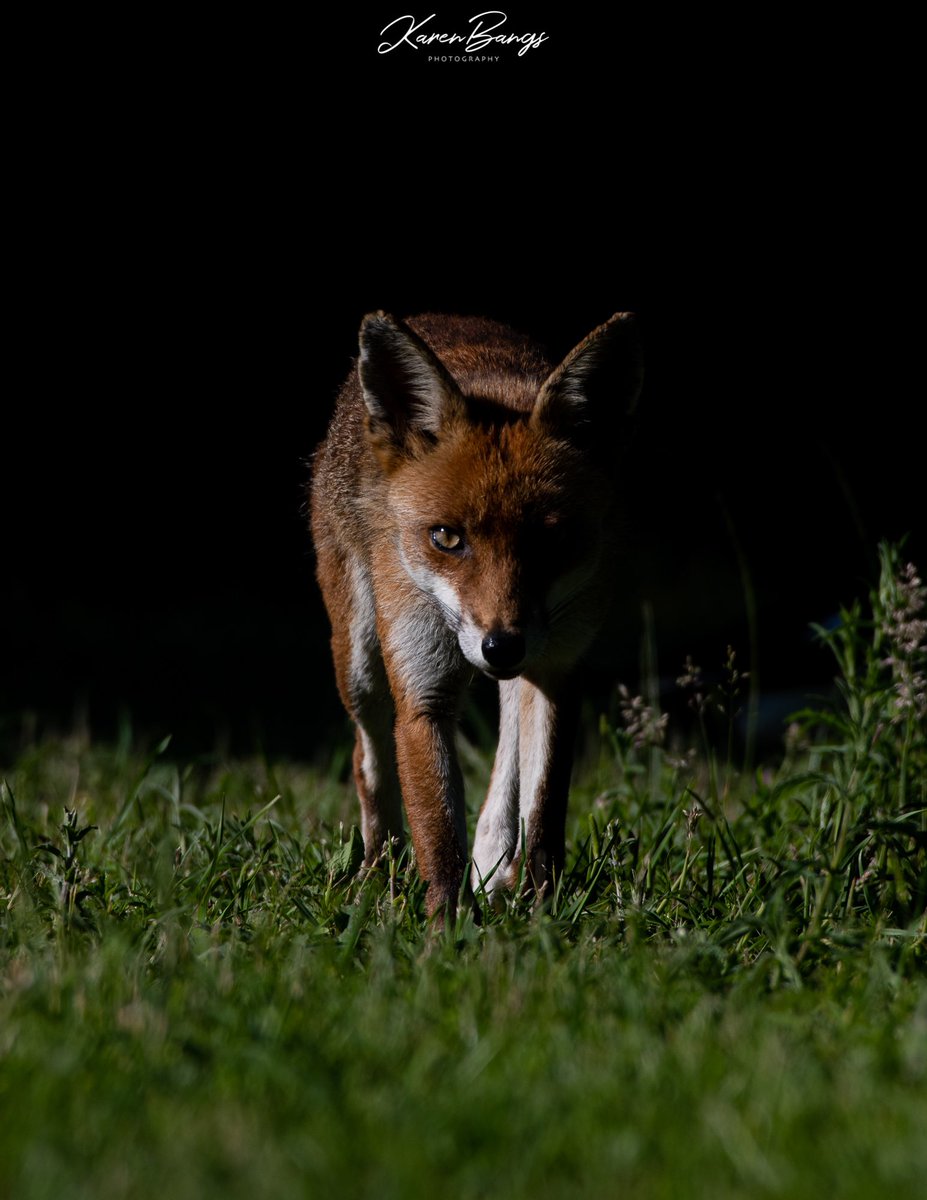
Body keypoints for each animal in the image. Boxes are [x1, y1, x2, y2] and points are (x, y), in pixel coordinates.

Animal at [310, 311, 643, 919]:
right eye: (446, 537)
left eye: (552, 542)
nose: (501, 645)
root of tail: (440, 316)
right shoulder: (424, 690)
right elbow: (437, 828)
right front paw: (446, 928)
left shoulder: (557, 668)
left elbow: (543, 811)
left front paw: (542, 912)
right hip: (359, 661)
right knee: (367, 756)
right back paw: (377, 870)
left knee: (508, 749)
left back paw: (493, 859)